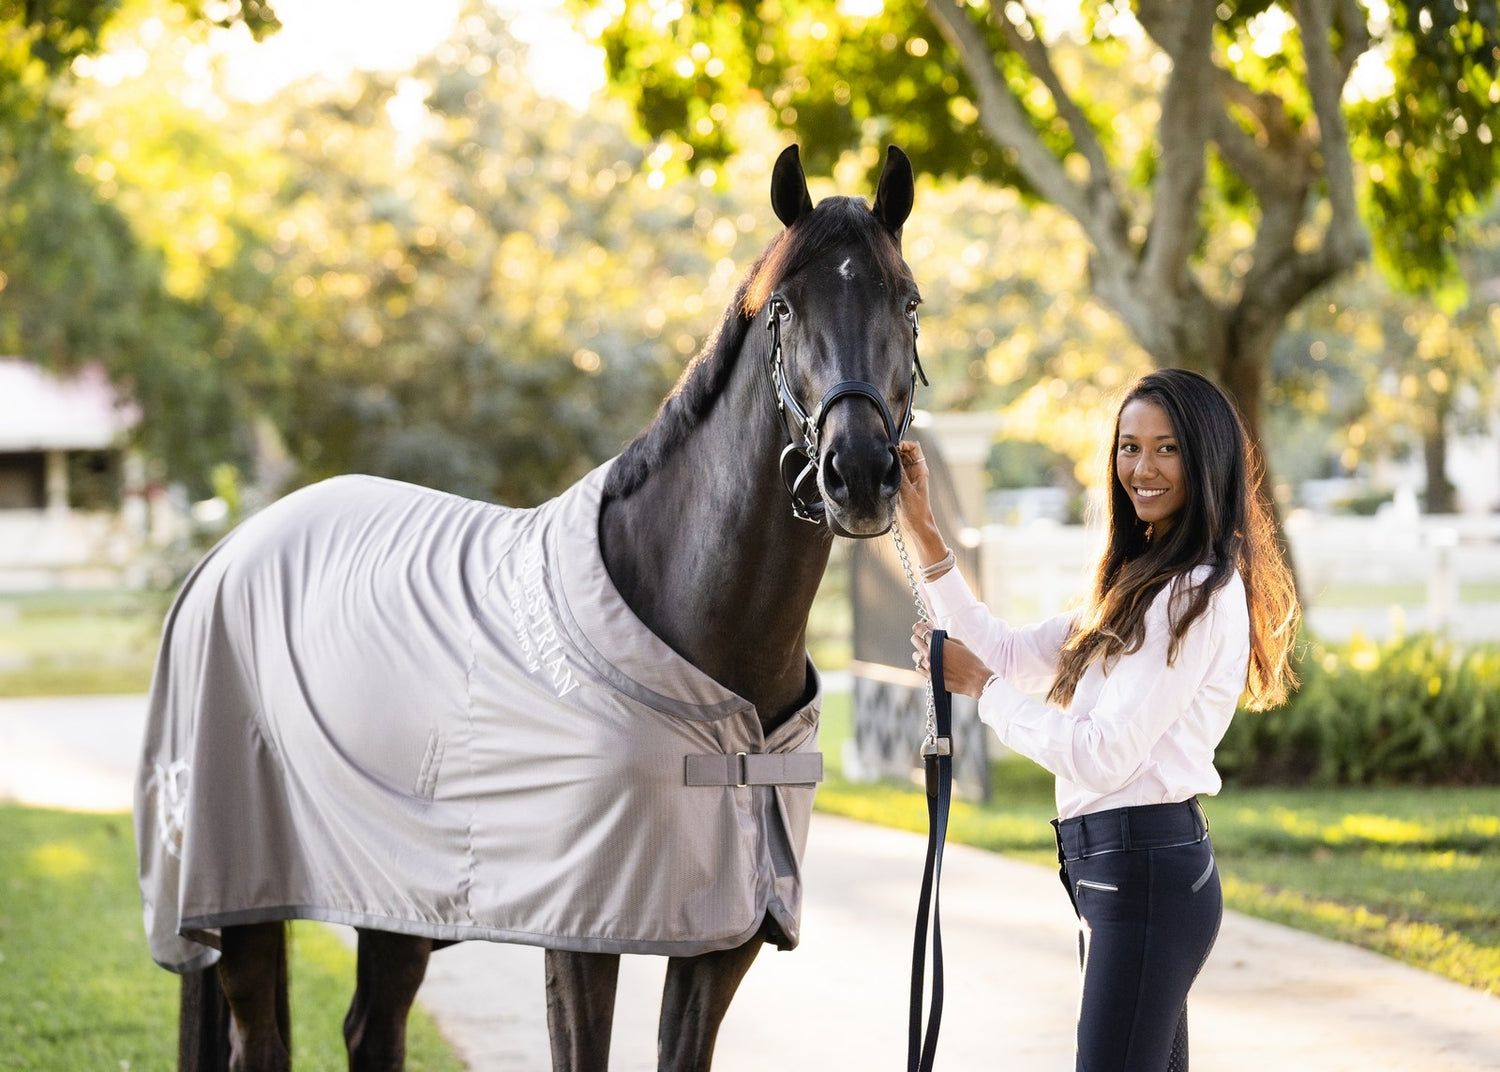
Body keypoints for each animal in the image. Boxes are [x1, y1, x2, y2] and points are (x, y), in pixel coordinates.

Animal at [146, 144, 924, 1072]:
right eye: (784, 305)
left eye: (907, 302)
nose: (860, 472)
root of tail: (226, 553)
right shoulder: (582, 935)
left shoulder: (726, 933)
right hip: (242, 903)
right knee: (260, 1042)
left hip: (393, 898)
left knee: (372, 1027)